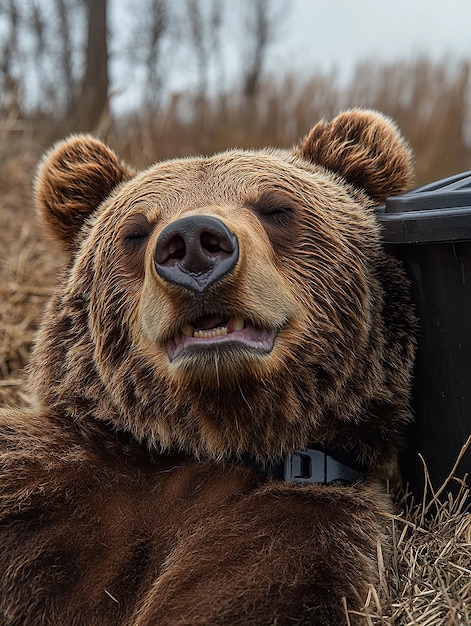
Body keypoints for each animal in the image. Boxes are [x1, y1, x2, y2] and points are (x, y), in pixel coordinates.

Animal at [0, 109, 414, 620]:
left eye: (276, 208)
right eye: (135, 230)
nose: (195, 241)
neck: (215, 434)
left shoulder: (301, 526)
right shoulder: (52, 482)